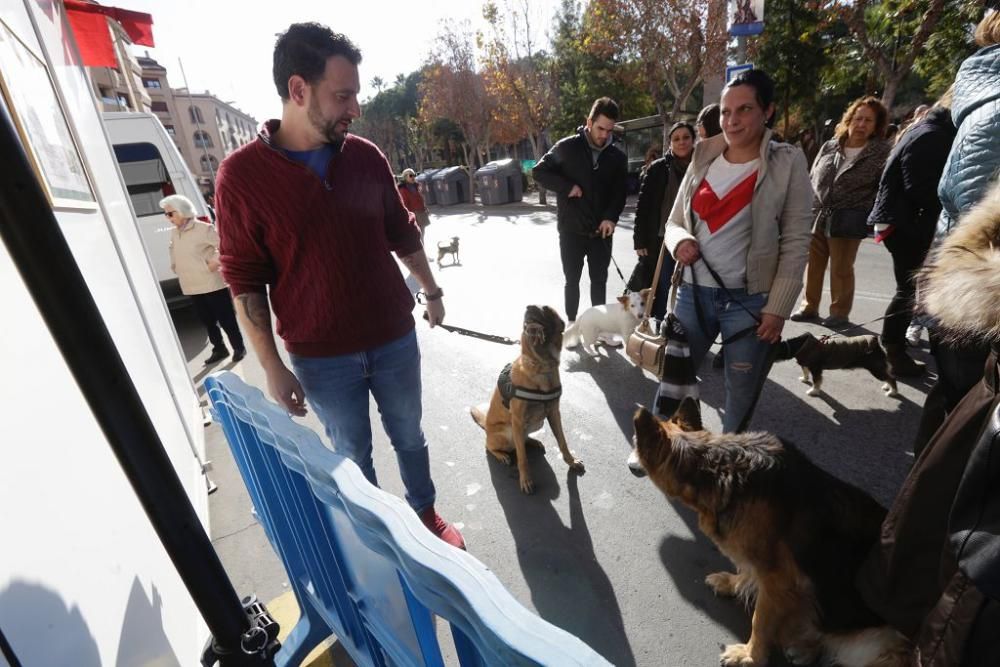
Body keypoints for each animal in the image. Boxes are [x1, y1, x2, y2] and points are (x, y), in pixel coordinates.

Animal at [470, 306, 584, 494]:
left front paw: (571, 461)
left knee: (521, 440)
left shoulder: (554, 414)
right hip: (508, 431)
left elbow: (562, 441)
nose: (530, 308)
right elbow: (522, 457)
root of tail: (486, 426)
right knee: (492, 446)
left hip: (536, 423)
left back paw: (532, 441)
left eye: (547, 311)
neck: (541, 367)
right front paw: (525, 479)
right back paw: (502, 455)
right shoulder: (516, 420)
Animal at [636, 400, 912, 667]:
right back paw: (805, 649)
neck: (717, 465)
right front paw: (733, 583)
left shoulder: (778, 580)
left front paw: (750, 656)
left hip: (878, 642)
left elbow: (760, 621)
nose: (631, 465)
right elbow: (747, 570)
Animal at [772, 332, 900, 396]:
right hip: (878, 368)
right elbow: (805, 371)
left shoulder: (816, 368)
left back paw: (892, 392)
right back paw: (887, 386)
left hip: (875, 369)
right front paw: (804, 379)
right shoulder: (806, 363)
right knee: (888, 376)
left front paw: (813, 391)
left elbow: (816, 381)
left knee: (891, 378)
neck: (800, 345)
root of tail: (877, 344)